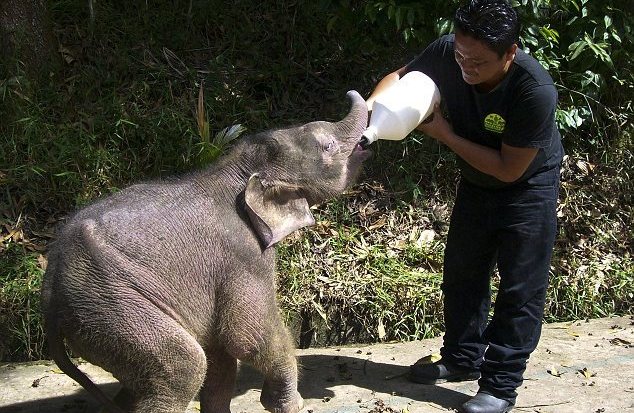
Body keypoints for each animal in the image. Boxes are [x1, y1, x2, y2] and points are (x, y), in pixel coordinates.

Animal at [42, 91, 370, 412]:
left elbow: (221, 355)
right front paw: (292, 404)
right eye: (328, 146)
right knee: (183, 369)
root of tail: (49, 296)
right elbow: (245, 335)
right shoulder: (243, 257)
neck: (233, 169)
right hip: (112, 307)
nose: (366, 142)